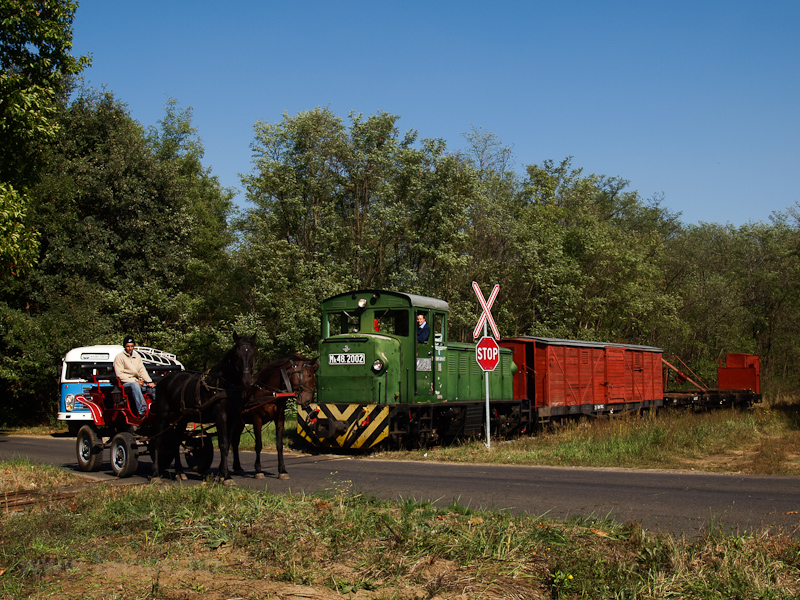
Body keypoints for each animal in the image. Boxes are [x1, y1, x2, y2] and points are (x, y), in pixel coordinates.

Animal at [152, 332, 255, 482]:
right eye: (237, 354)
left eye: (253, 354)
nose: (247, 381)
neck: (225, 385)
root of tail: (162, 380)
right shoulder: (220, 416)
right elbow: (223, 443)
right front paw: (226, 476)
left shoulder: (234, 417)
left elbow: (228, 442)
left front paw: (222, 473)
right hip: (162, 414)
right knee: (157, 440)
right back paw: (155, 473)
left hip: (182, 417)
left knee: (176, 440)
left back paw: (179, 471)